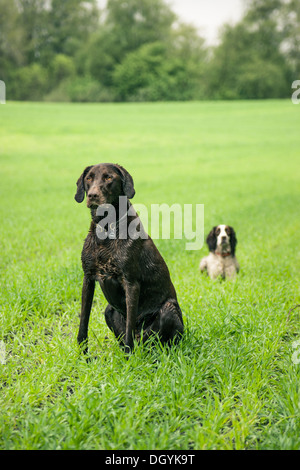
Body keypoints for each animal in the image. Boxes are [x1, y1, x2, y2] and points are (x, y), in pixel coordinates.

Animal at [74, 162, 183, 352]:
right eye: (88, 178)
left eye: (109, 177)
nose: (93, 195)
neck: (107, 228)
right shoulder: (88, 278)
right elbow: (83, 323)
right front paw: (83, 355)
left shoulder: (131, 283)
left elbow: (129, 329)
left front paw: (128, 356)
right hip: (108, 309)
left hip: (169, 309)